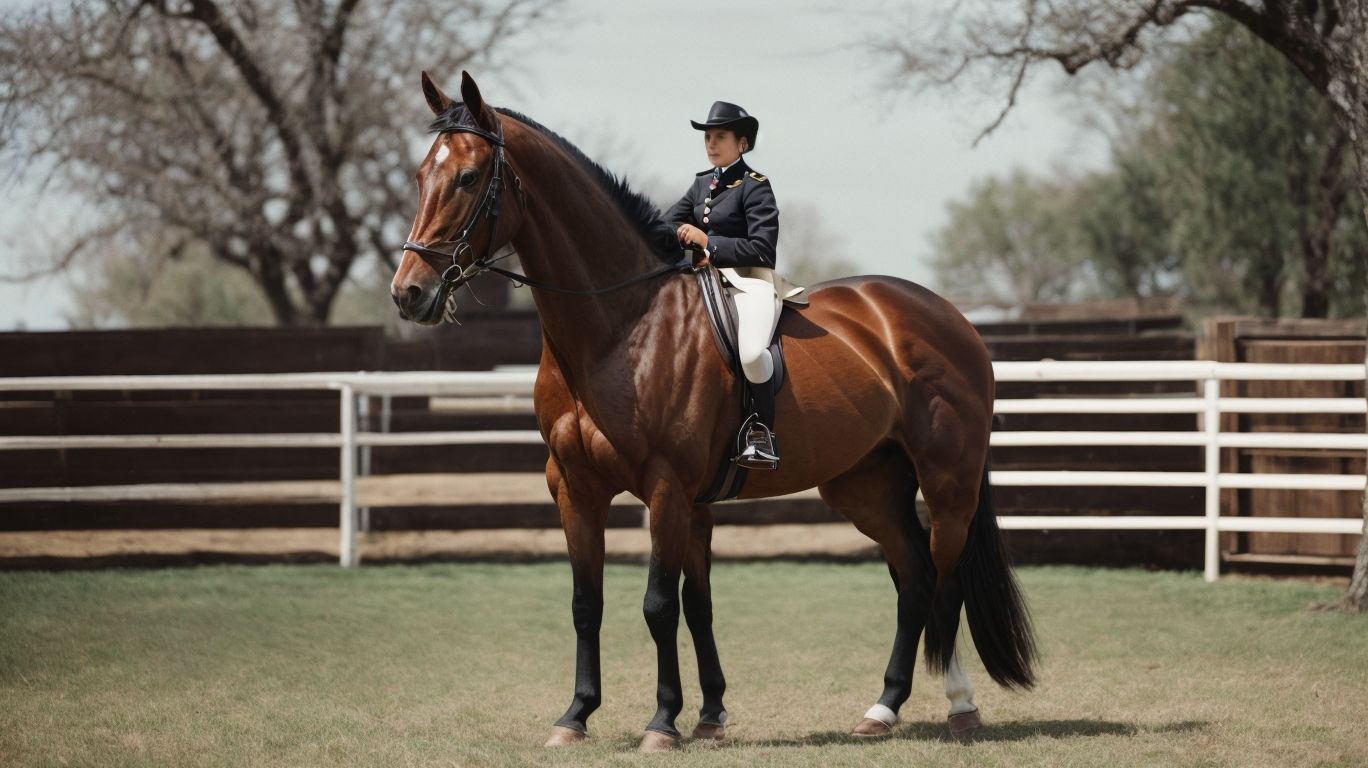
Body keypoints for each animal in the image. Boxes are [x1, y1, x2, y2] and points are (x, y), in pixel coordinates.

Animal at [391, 71, 1037, 752]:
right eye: (420, 175)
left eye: (468, 177)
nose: (409, 293)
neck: (622, 326)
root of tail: (949, 316)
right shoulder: (577, 488)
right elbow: (604, 604)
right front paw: (590, 716)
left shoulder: (667, 488)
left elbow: (658, 605)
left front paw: (662, 723)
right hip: (865, 485)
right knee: (913, 577)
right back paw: (882, 709)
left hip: (947, 481)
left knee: (944, 578)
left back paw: (961, 707)